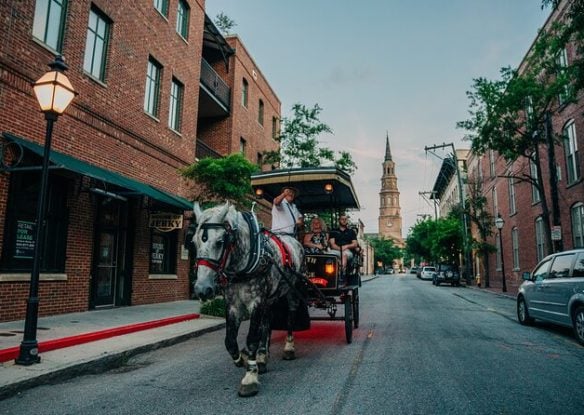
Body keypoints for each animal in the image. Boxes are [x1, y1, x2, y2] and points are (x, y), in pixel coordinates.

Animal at [193, 203, 306, 398]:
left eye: (220, 242)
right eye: (194, 242)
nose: (202, 288)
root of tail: (293, 240)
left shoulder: (256, 302)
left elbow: (252, 338)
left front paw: (250, 377)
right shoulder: (232, 304)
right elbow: (230, 341)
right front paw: (243, 359)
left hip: (291, 290)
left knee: (290, 318)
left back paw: (288, 348)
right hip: (270, 297)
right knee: (267, 322)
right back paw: (262, 356)